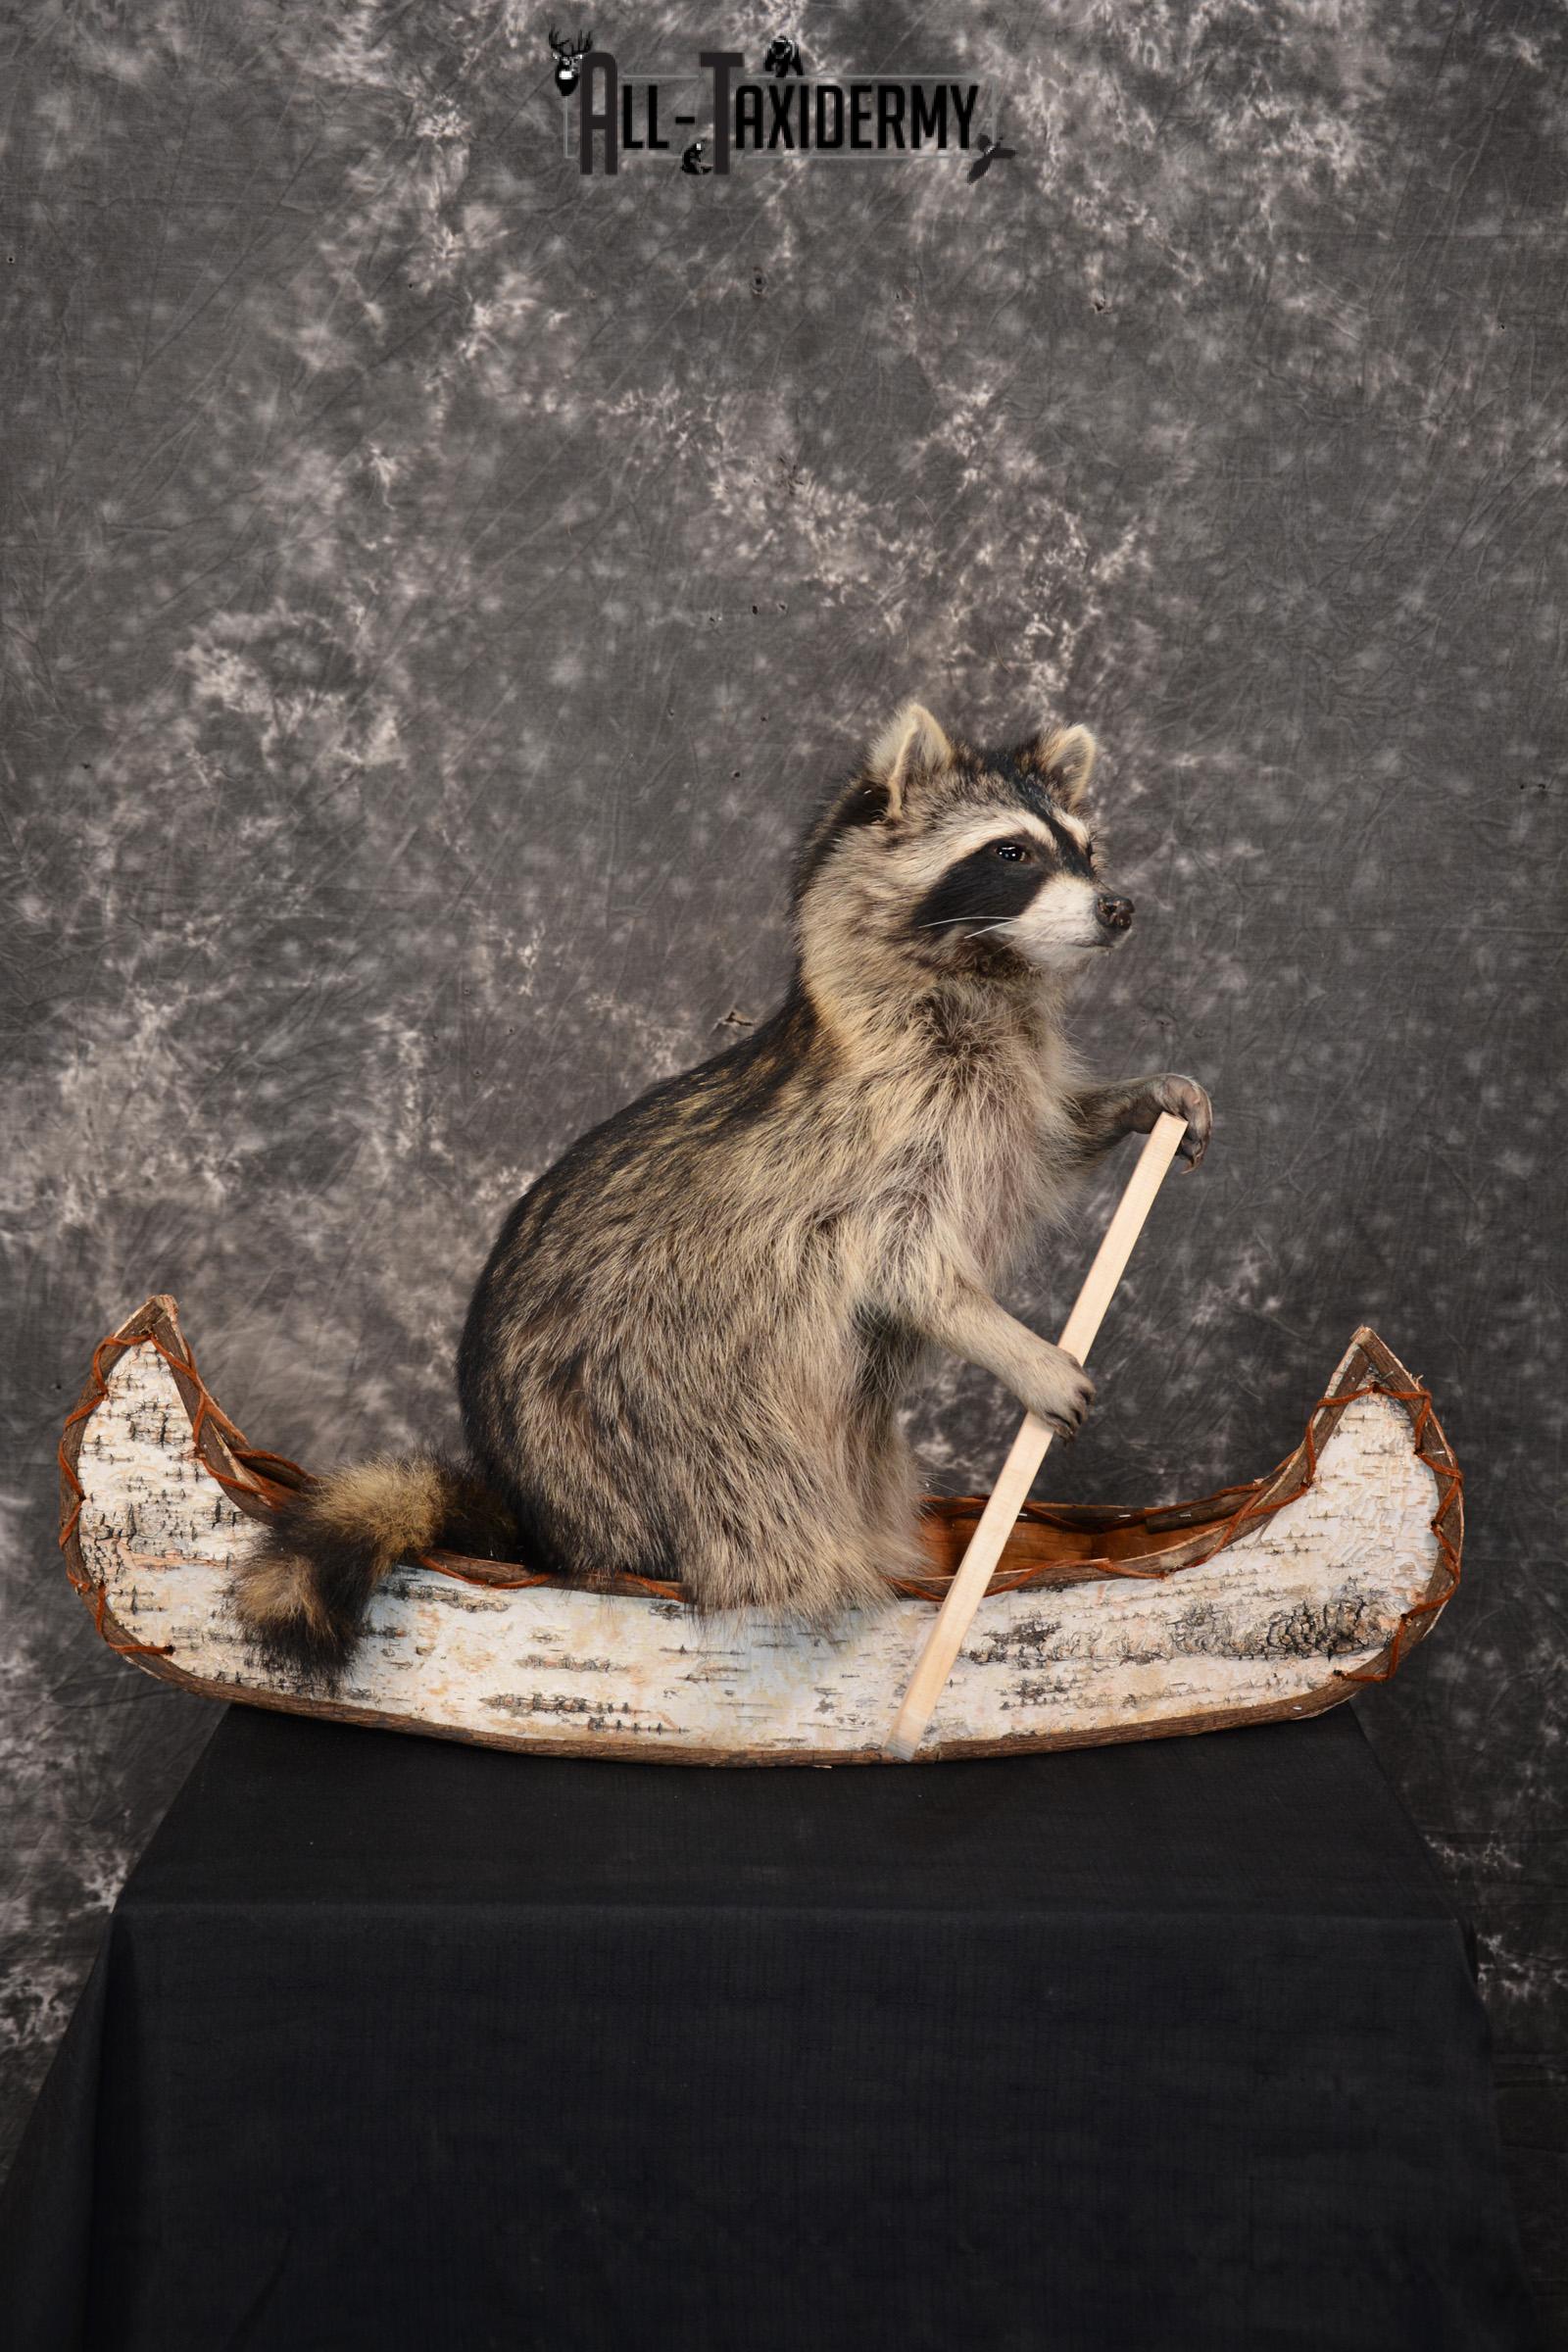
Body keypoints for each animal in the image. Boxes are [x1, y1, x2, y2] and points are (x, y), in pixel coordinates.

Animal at [231, 702, 1211, 1683]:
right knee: (753, 1497)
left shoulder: (992, 1105)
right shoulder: (867, 1137)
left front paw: (1137, 1098)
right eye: (1012, 853)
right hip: (639, 1420)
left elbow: (1045, 1146)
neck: (981, 978)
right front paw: (1014, 1345)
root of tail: (547, 1533)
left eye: (1086, 848)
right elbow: (904, 1267)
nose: (1119, 907)